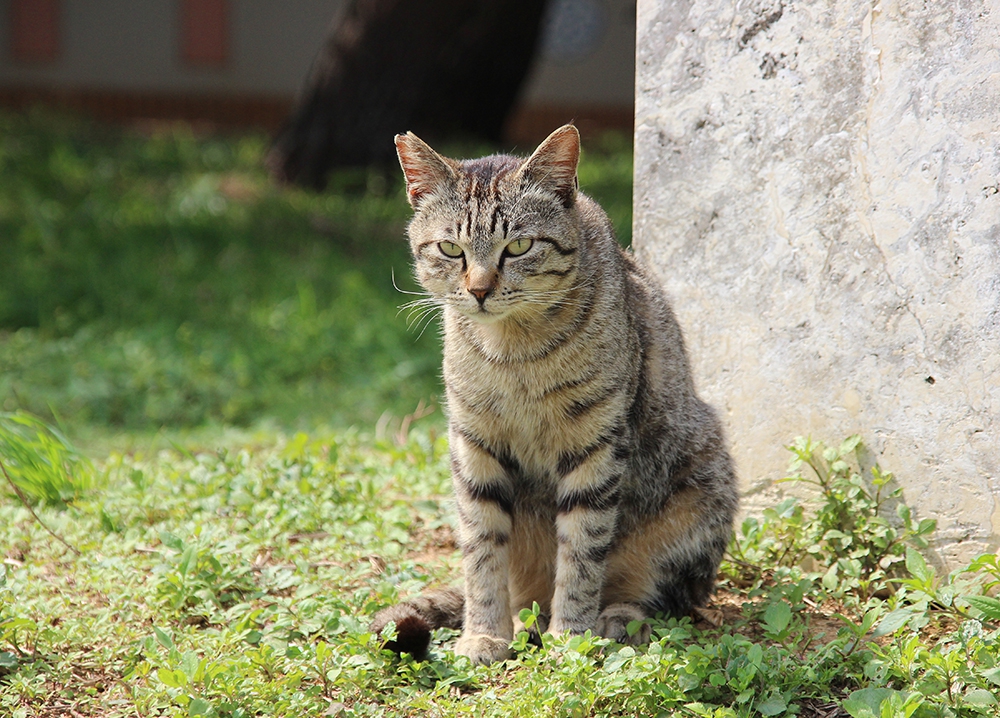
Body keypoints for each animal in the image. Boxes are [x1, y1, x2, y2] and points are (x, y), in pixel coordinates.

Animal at [372, 125, 740, 668]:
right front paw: (484, 634)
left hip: (701, 488)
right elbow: (481, 552)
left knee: (665, 594)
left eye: (520, 246)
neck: (514, 353)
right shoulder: (473, 443)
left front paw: (571, 636)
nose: (479, 290)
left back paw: (617, 618)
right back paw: (525, 623)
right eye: (451, 249)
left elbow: (583, 552)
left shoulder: (596, 445)